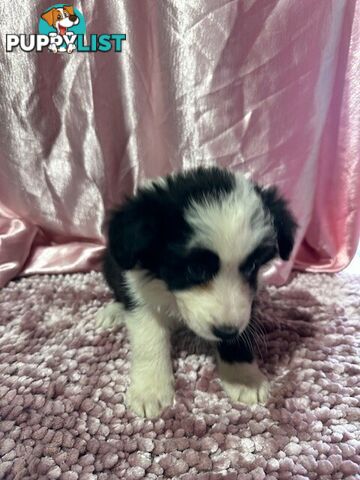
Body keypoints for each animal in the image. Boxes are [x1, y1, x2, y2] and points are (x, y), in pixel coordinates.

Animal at [97, 167, 296, 418]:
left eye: (251, 266)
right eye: (195, 269)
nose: (226, 331)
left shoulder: (248, 298)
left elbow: (242, 331)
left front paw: (243, 377)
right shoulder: (138, 292)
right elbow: (149, 340)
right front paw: (150, 390)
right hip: (110, 263)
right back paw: (112, 311)